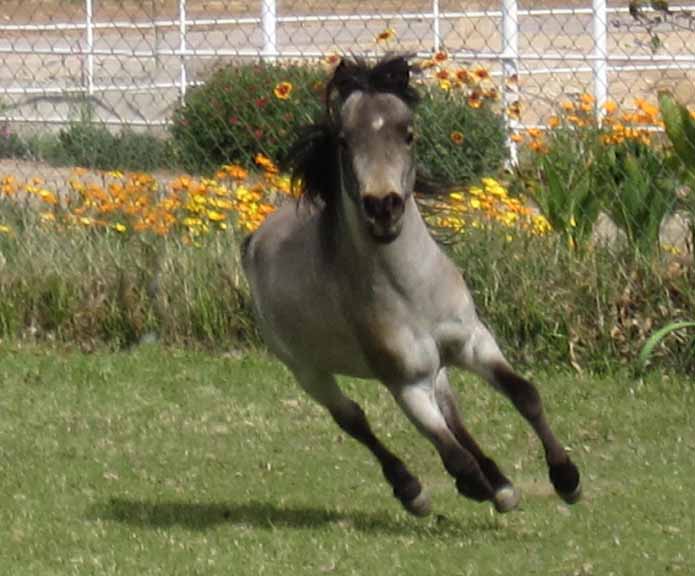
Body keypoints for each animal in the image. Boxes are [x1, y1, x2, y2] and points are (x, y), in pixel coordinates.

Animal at [241, 55, 581, 516]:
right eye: (344, 140)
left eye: (408, 133)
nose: (383, 207)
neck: (412, 291)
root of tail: (255, 239)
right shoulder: (406, 384)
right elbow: (450, 453)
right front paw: (472, 486)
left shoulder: (474, 342)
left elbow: (524, 395)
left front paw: (566, 479)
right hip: (307, 371)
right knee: (354, 419)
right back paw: (413, 490)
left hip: (437, 365)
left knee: (452, 412)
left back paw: (501, 483)